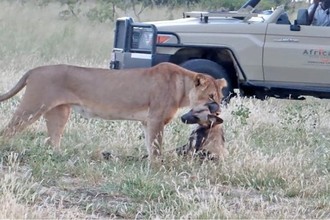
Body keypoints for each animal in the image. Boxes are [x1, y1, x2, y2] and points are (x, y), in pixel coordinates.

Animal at [0, 62, 227, 161]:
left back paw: (60, 157)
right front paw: (157, 168)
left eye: (219, 97)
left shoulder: (147, 122)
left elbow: (149, 145)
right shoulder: (155, 119)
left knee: (52, 140)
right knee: (7, 131)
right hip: (32, 107)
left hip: (59, 112)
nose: (218, 109)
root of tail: (35, 69)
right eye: (211, 97)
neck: (183, 88)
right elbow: (156, 147)